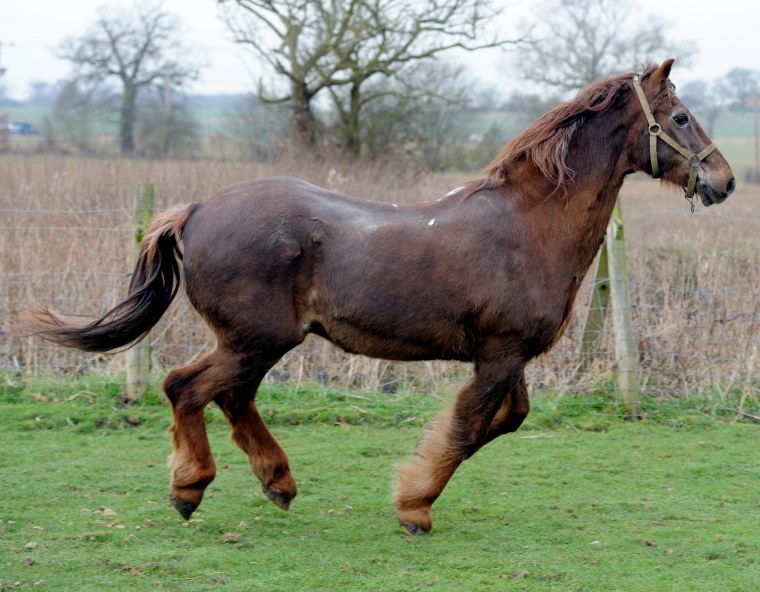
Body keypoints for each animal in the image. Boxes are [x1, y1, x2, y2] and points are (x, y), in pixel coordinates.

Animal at [31, 59, 736, 532]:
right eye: (679, 117)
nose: (724, 181)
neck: (526, 228)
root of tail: (196, 209)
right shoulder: (501, 355)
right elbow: (469, 427)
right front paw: (414, 506)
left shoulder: (507, 358)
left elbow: (504, 420)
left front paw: (413, 490)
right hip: (256, 338)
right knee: (186, 387)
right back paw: (190, 489)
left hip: (254, 342)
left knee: (229, 396)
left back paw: (277, 483)